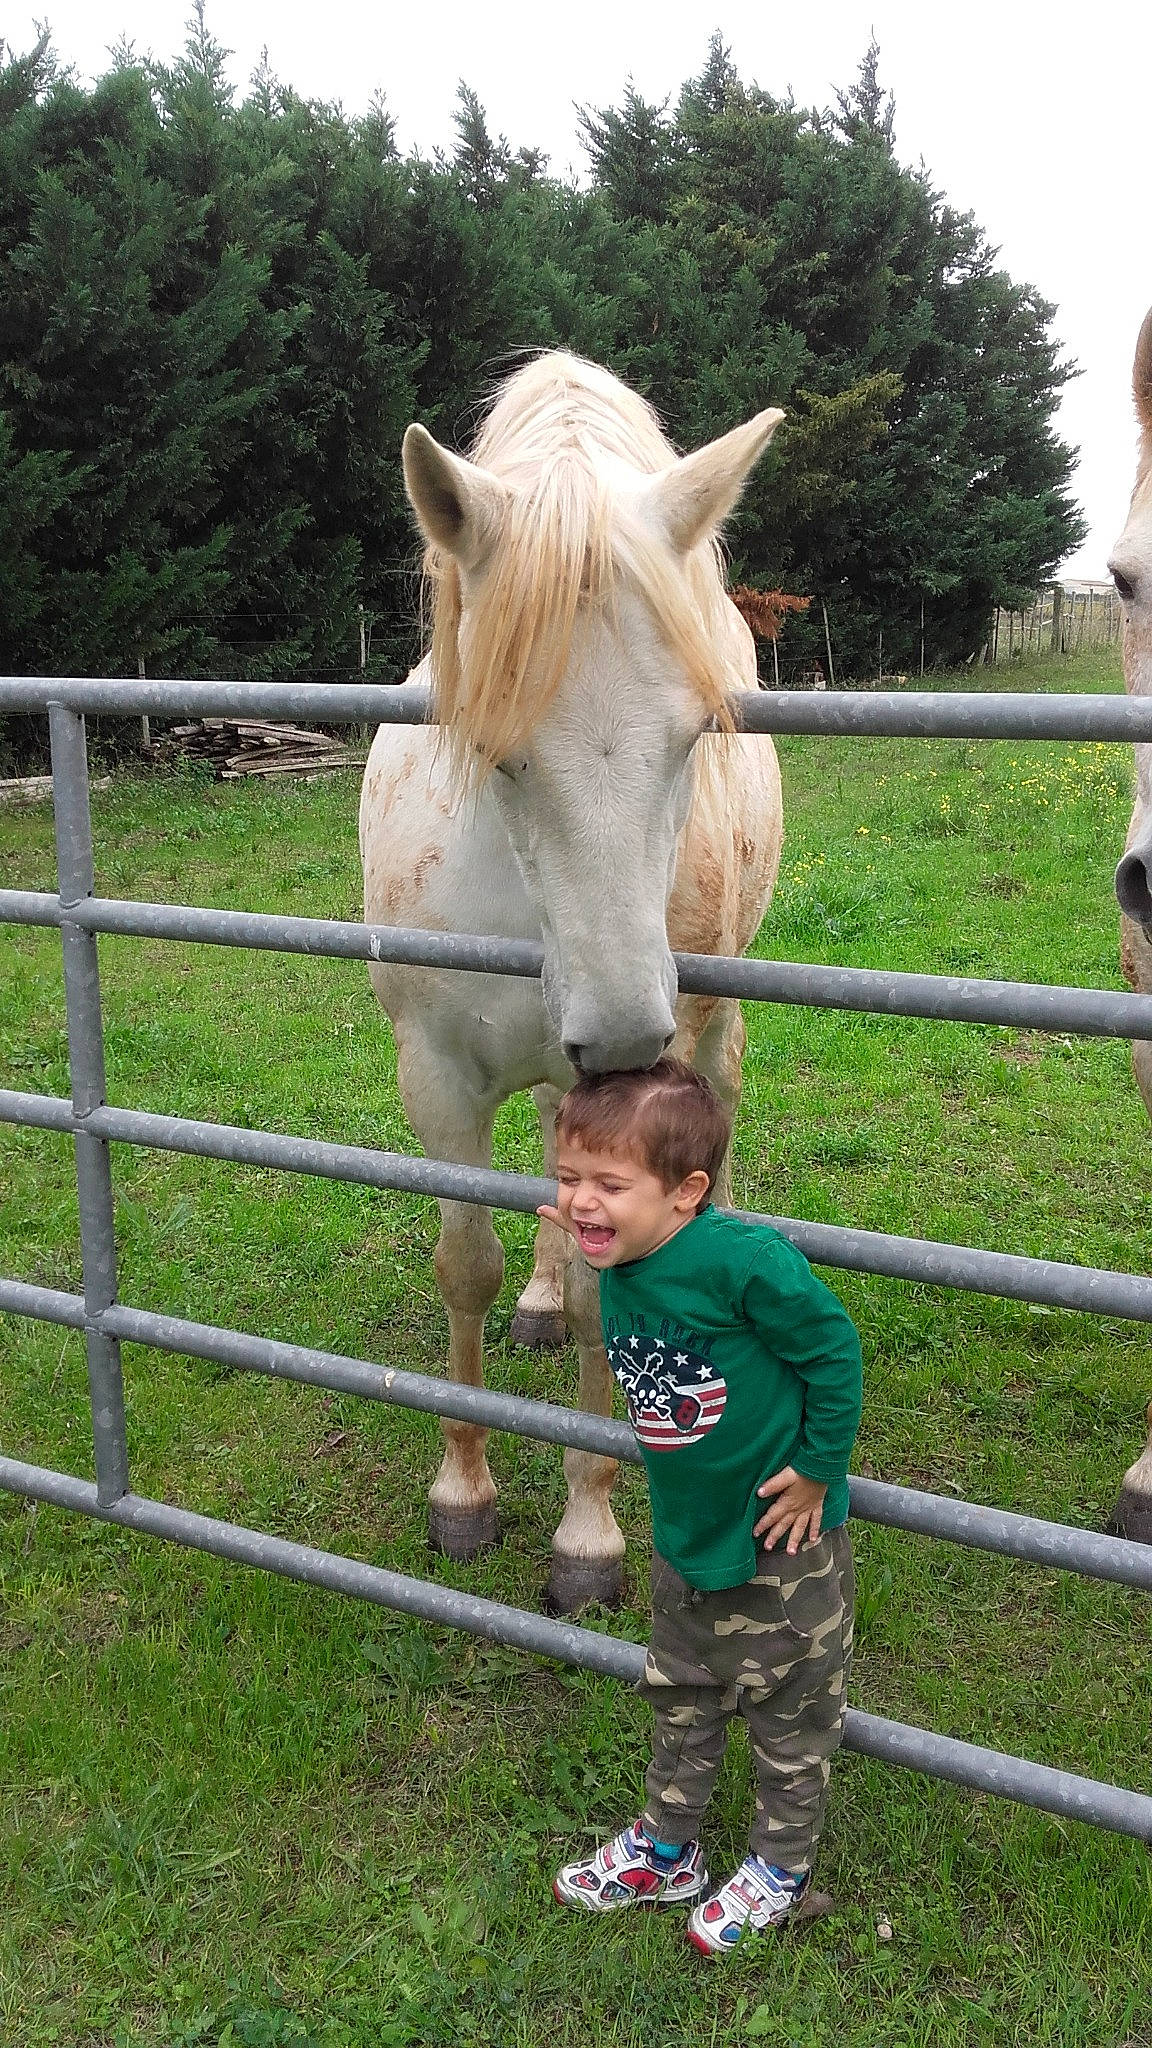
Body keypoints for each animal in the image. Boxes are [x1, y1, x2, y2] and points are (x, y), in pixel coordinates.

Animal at [359, 352, 785, 1611]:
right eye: (498, 752)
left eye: (696, 734)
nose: (627, 1038)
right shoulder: (436, 1079)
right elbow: (465, 1265)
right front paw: (463, 1491)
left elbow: (618, 1300)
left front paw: (588, 1536)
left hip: (712, 1034)